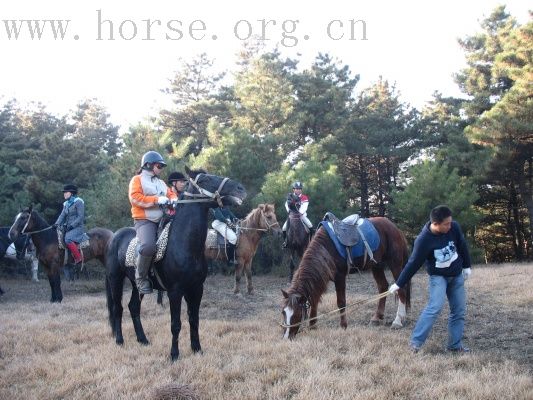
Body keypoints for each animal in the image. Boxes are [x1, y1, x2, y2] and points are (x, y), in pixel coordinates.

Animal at [106, 167, 247, 360]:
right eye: (205, 180)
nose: (240, 189)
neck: (184, 245)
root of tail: (114, 236)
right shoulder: (175, 291)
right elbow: (176, 324)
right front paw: (174, 354)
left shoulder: (196, 289)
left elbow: (194, 320)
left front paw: (197, 349)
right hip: (116, 279)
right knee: (118, 308)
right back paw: (119, 341)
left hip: (137, 284)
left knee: (133, 307)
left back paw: (143, 340)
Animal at [280, 217, 410, 340]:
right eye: (283, 312)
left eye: (296, 314)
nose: (286, 337)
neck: (326, 248)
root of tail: (395, 229)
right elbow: (314, 300)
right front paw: (313, 326)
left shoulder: (340, 277)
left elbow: (341, 302)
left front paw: (343, 326)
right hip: (376, 266)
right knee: (383, 286)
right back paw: (377, 317)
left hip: (395, 263)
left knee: (401, 289)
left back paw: (398, 321)